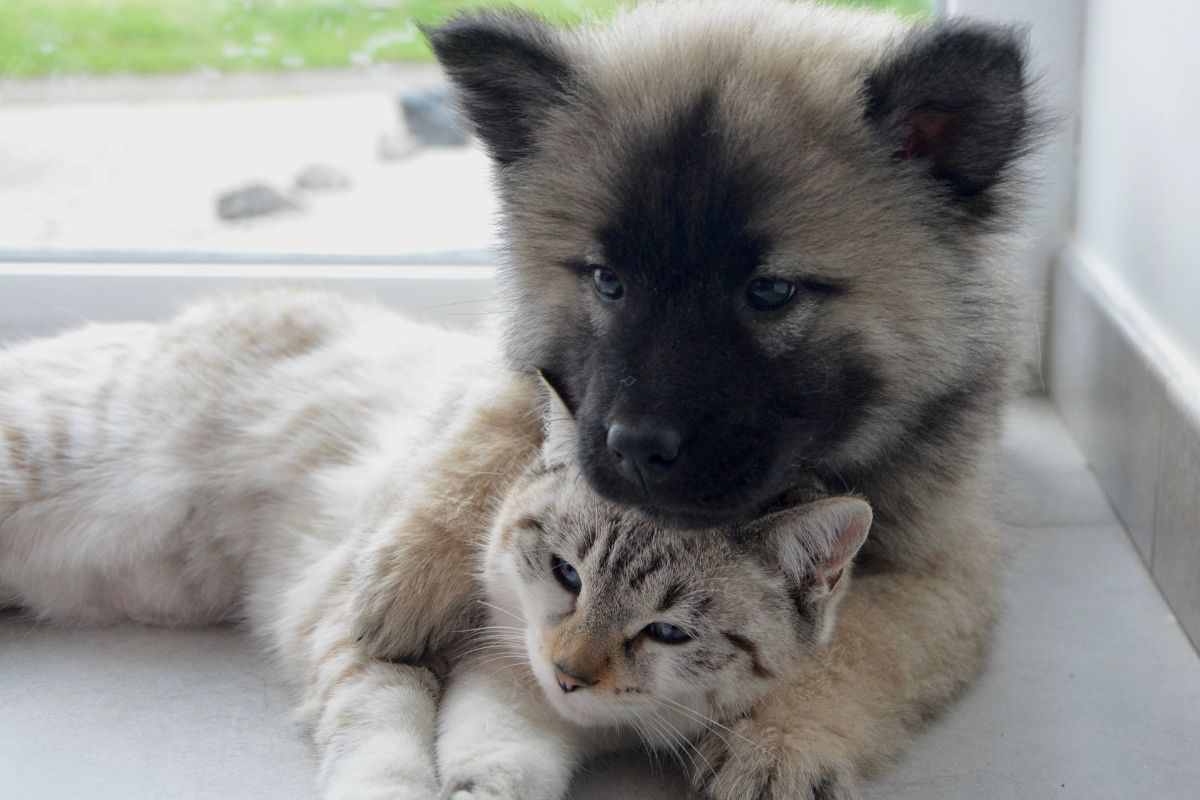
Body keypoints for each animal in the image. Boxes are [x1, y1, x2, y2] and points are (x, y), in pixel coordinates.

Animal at [0, 289, 868, 800]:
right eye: (566, 574)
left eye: (668, 631)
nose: (570, 672)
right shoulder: (366, 632)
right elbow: (386, 730)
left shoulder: (520, 690)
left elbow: (498, 754)